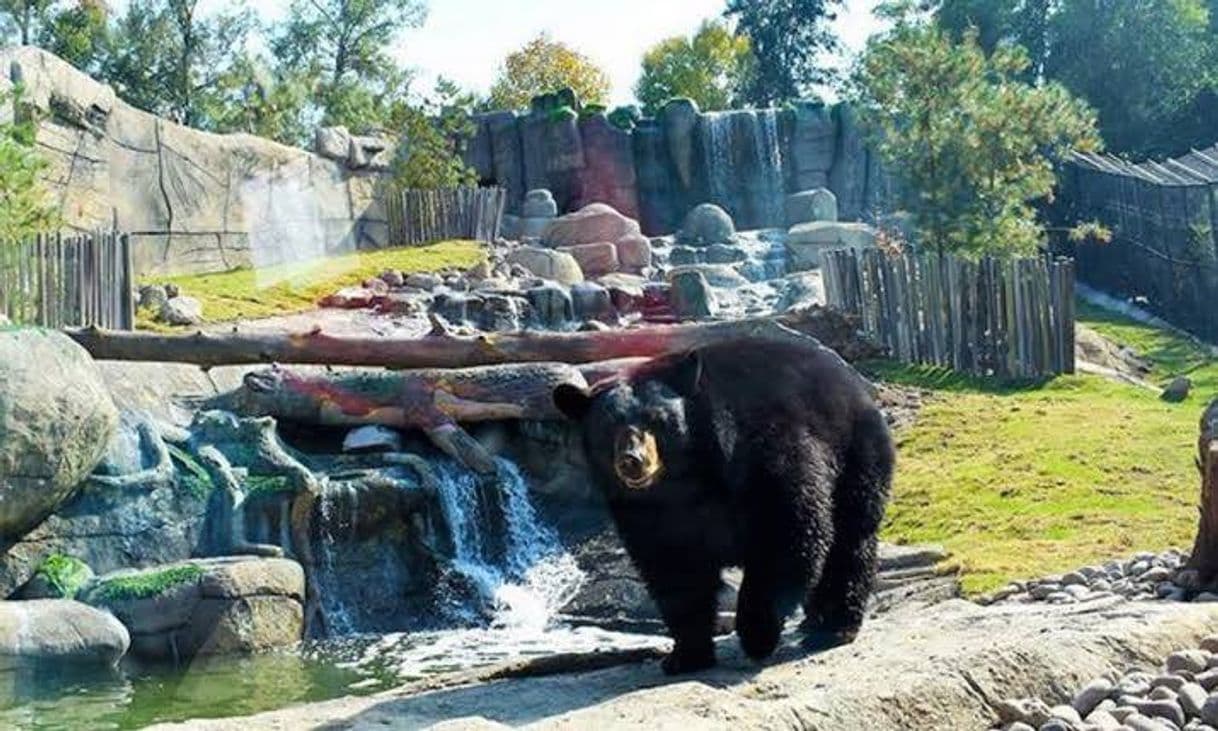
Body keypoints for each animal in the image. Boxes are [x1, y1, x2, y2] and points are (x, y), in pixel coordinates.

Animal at [555, 336, 896, 672]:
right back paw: (813, 621)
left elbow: (786, 529)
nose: (632, 461)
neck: (684, 477)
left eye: (657, 420)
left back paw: (835, 627)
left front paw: (756, 635)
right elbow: (673, 566)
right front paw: (685, 655)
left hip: (853, 451)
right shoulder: (646, 510)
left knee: (850, 538)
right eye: (608, 427)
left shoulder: (762, 456)